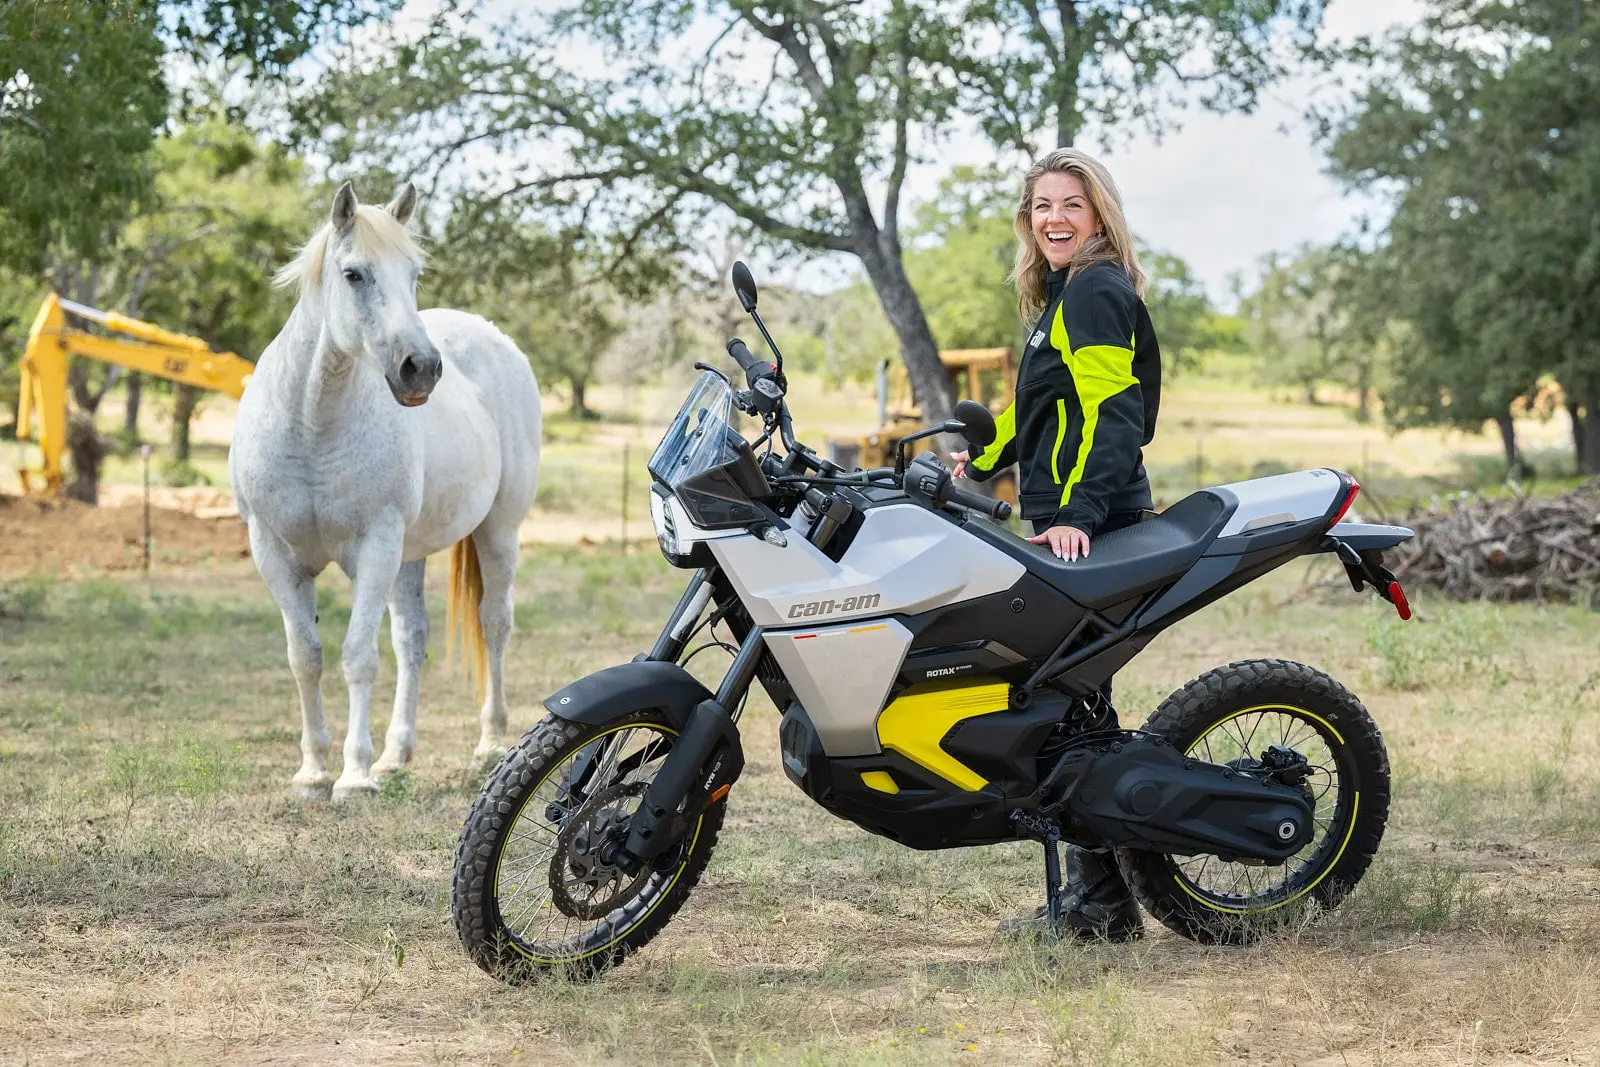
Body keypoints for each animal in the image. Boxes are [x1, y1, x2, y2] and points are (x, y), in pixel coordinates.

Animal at [232, 183, 544, 799]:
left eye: (414, 272)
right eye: (354, 274)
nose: (420, 368)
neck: (311, 424)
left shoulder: (374, 548)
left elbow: (357, 656)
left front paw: (352, 776)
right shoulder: (274, 555)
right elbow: (305, 657)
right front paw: (312, 770)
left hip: (498, 532)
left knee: (494, 623)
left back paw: (490, 743)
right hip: (409, 555)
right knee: (411, 640)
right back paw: (396, 755)